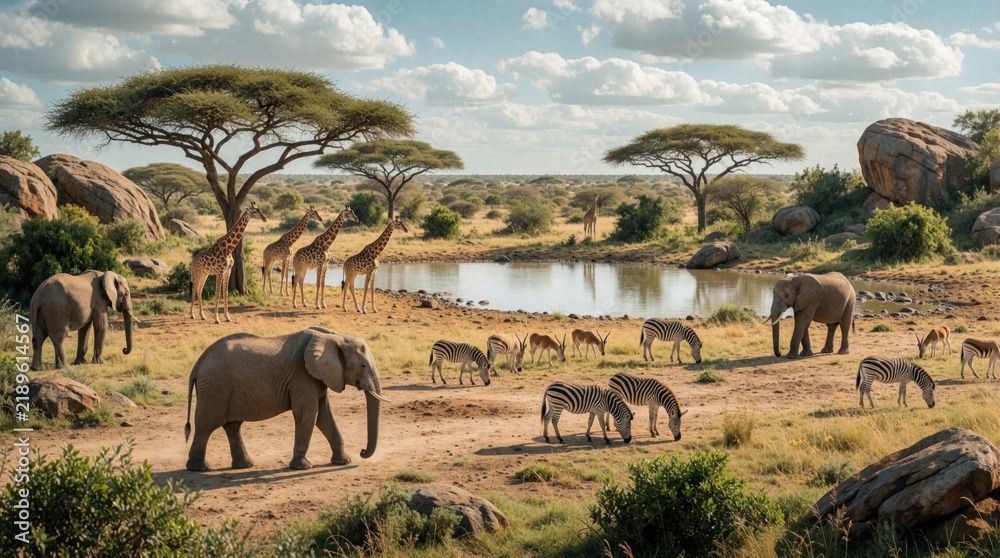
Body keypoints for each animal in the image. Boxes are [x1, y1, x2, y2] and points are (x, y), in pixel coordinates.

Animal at [184, 327, 389, 471]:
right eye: (363, 366)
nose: (362, 451)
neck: (336, 337)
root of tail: (198, 363)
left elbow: (324, 416)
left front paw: (343, 462)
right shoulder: (302, 377)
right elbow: (308, 415)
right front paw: (302, 467)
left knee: (232, 426)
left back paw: (245, 465)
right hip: (214, 389)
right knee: (206, 425)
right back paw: (199, 469)